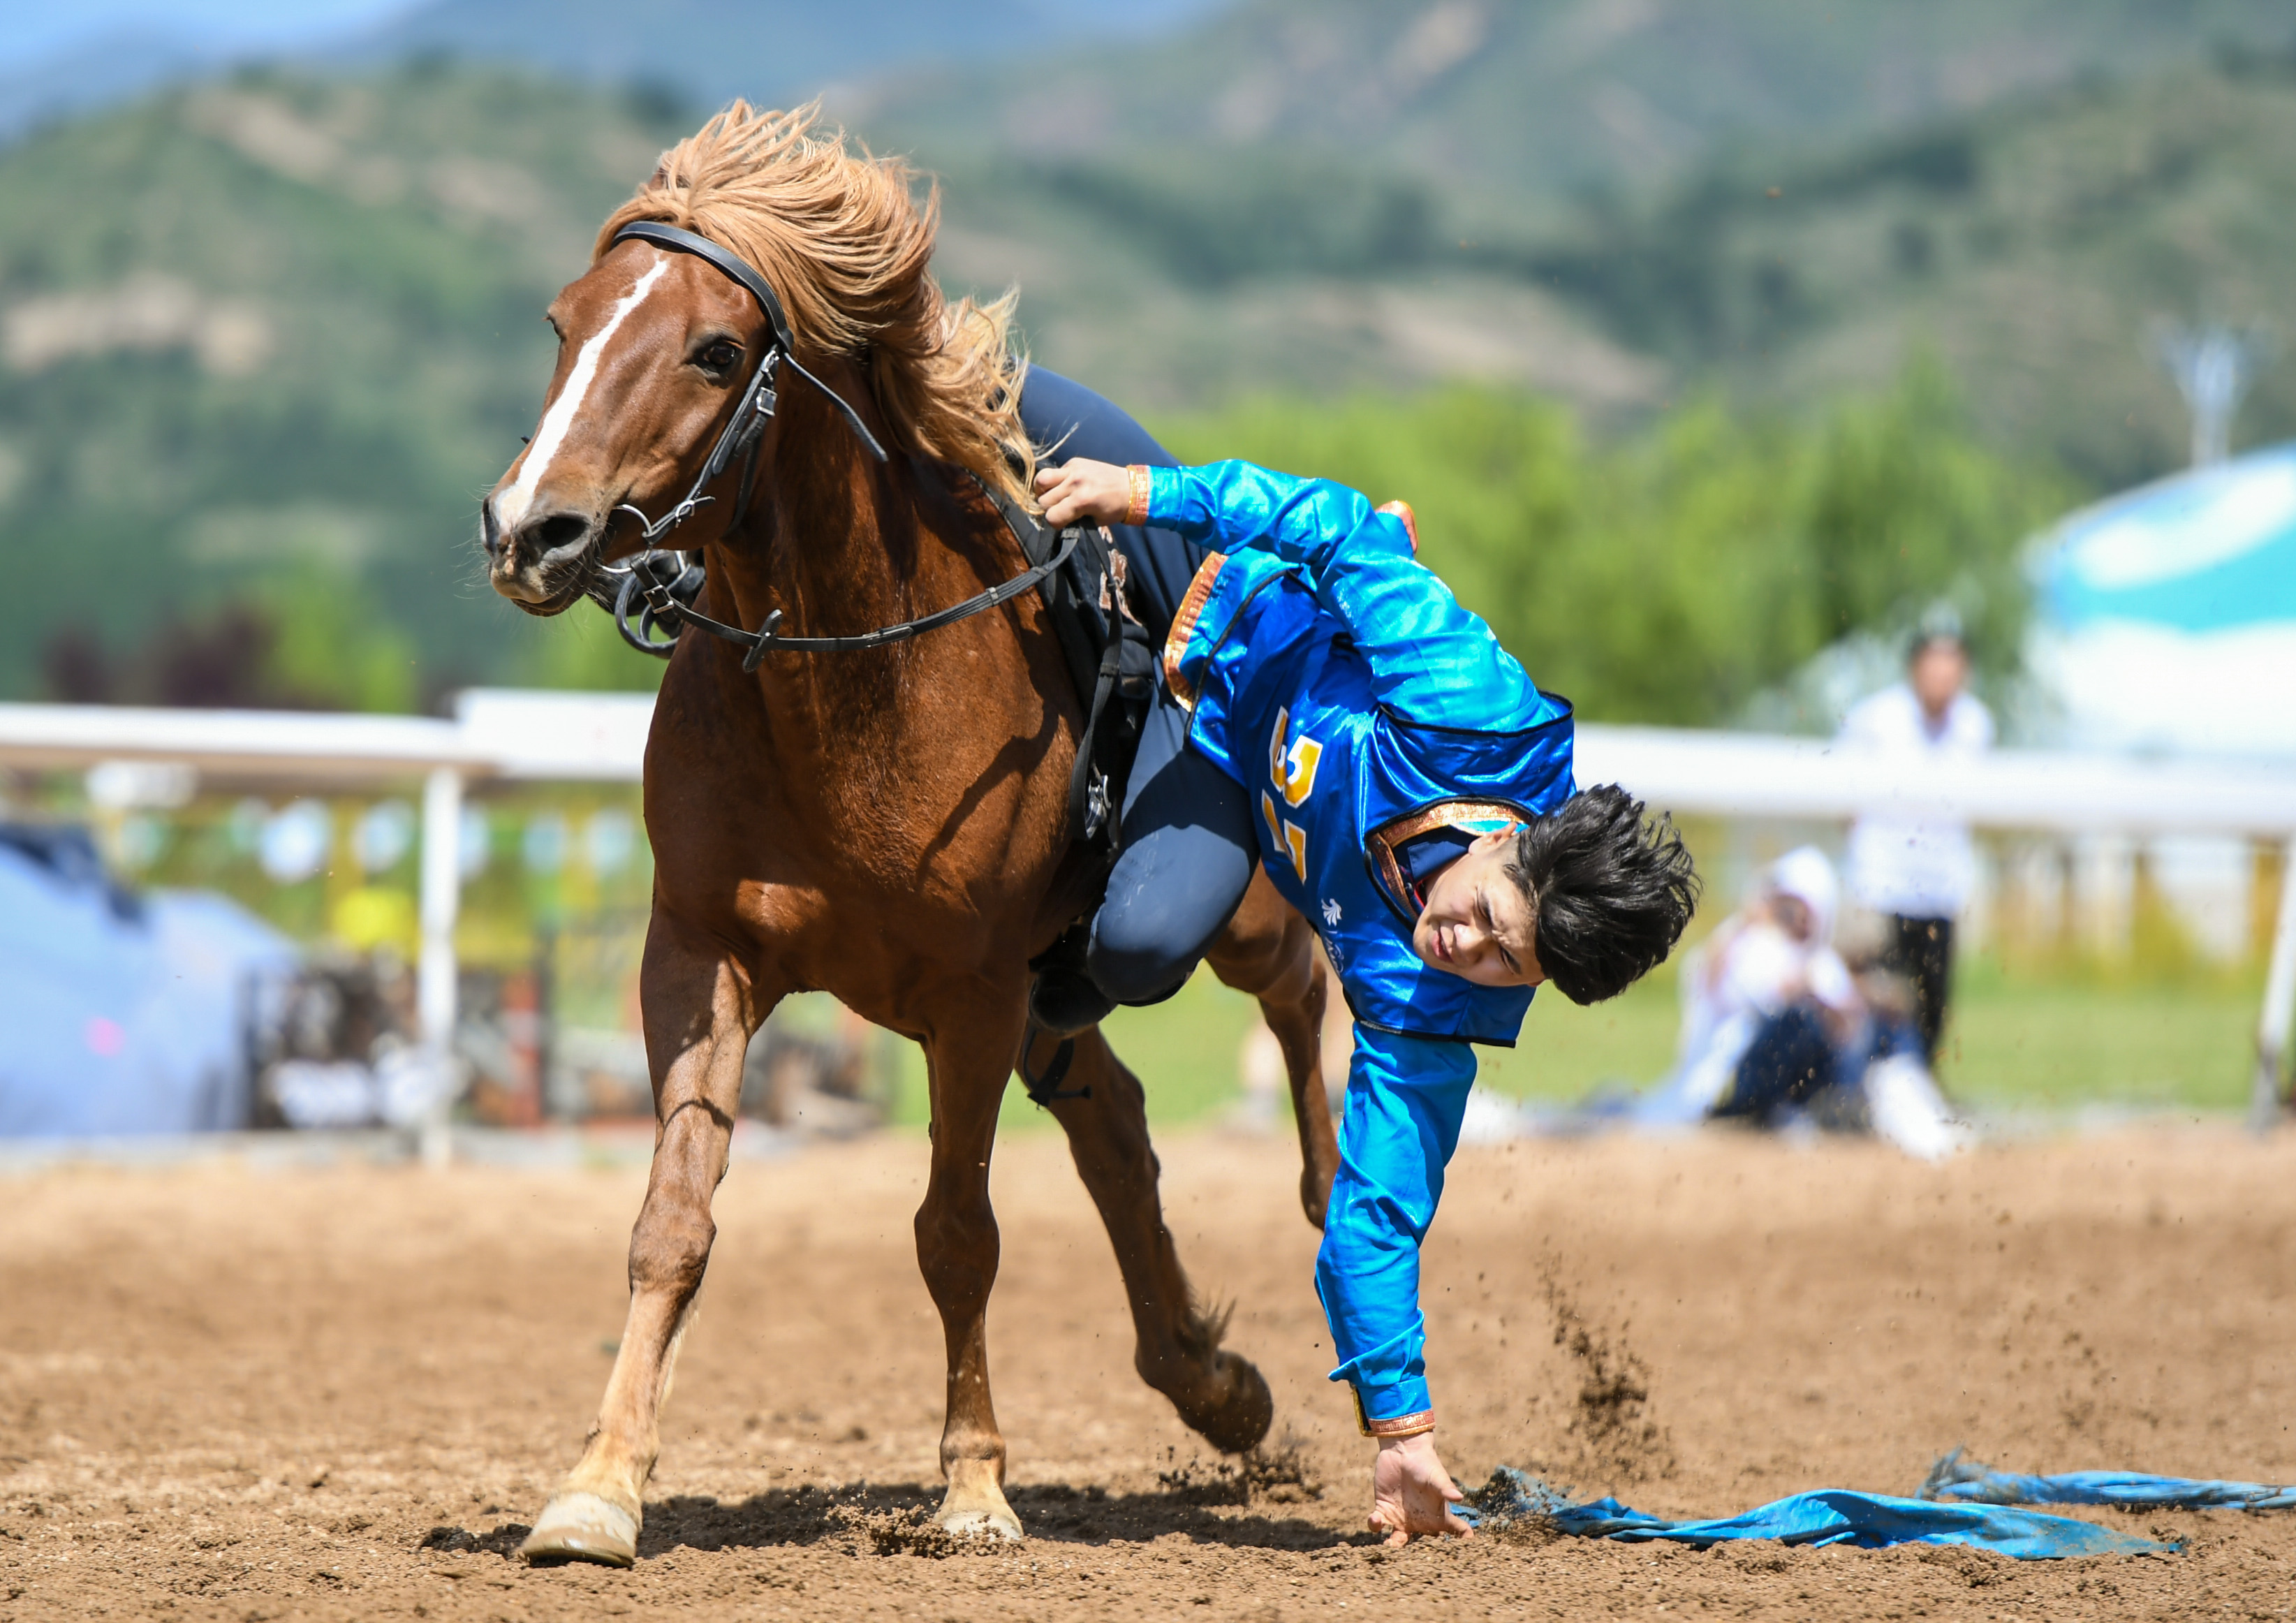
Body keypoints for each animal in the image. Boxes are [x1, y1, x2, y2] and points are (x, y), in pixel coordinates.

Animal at [480, 98, 1341, 1561]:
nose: (533, 527)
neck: (853, 674)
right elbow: (672, 1219)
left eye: (716, 350)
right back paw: (1211, 1381)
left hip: (1215, 914)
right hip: (1059, 982)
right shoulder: (698, 949)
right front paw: (598, 1482)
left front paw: (976, 1486)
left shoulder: (974, 990)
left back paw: (1336, 1215)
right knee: (1113, 1114)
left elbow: (957, 1231)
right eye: (563, 320)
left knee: (1296, 1008)